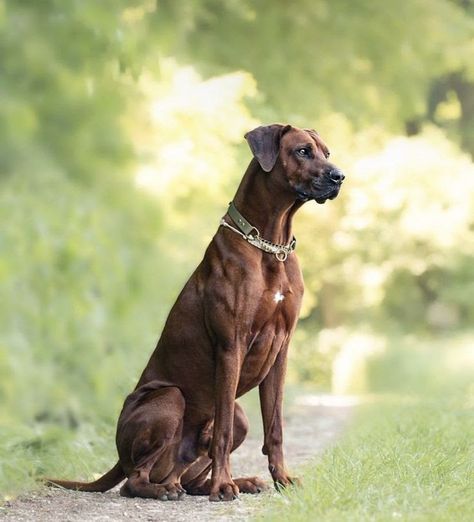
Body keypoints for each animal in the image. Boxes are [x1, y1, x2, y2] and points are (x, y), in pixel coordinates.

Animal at [48, 123, 344, 500]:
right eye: (303, 151)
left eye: (327, 152)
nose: (339, 177)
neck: (269, 244)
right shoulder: (232, 344)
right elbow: (222, 434)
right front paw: (224, 485)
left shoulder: (281, 350)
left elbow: (275, 427)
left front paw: (282, 479)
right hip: (170, 398)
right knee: (134, 480)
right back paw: (172, 488)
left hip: (235, 416)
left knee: (187, 477)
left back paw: (235, 482)